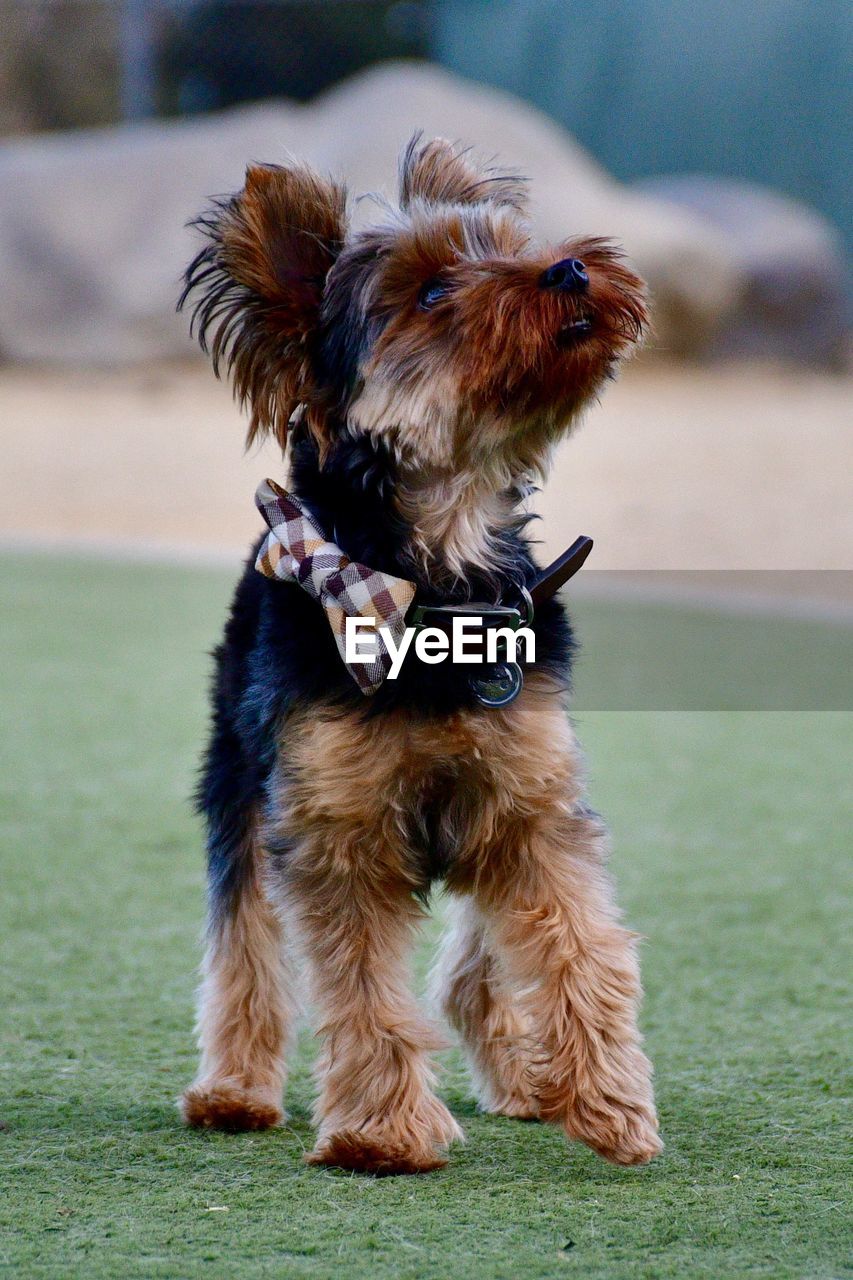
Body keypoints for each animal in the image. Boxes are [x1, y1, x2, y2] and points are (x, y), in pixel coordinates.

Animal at [178, 135, 655, 1172]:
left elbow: (579, 945)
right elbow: (359, 987)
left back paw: (526, 1078)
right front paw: (382, 1134)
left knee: (477, 955)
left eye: (508, 247)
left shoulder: (529, 804)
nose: (568, 268)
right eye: (432, 293)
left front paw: (609, 1101)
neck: (436, 566)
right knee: (243, 940)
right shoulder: (333, 825)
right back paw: (234, 1090)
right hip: (237, 775)